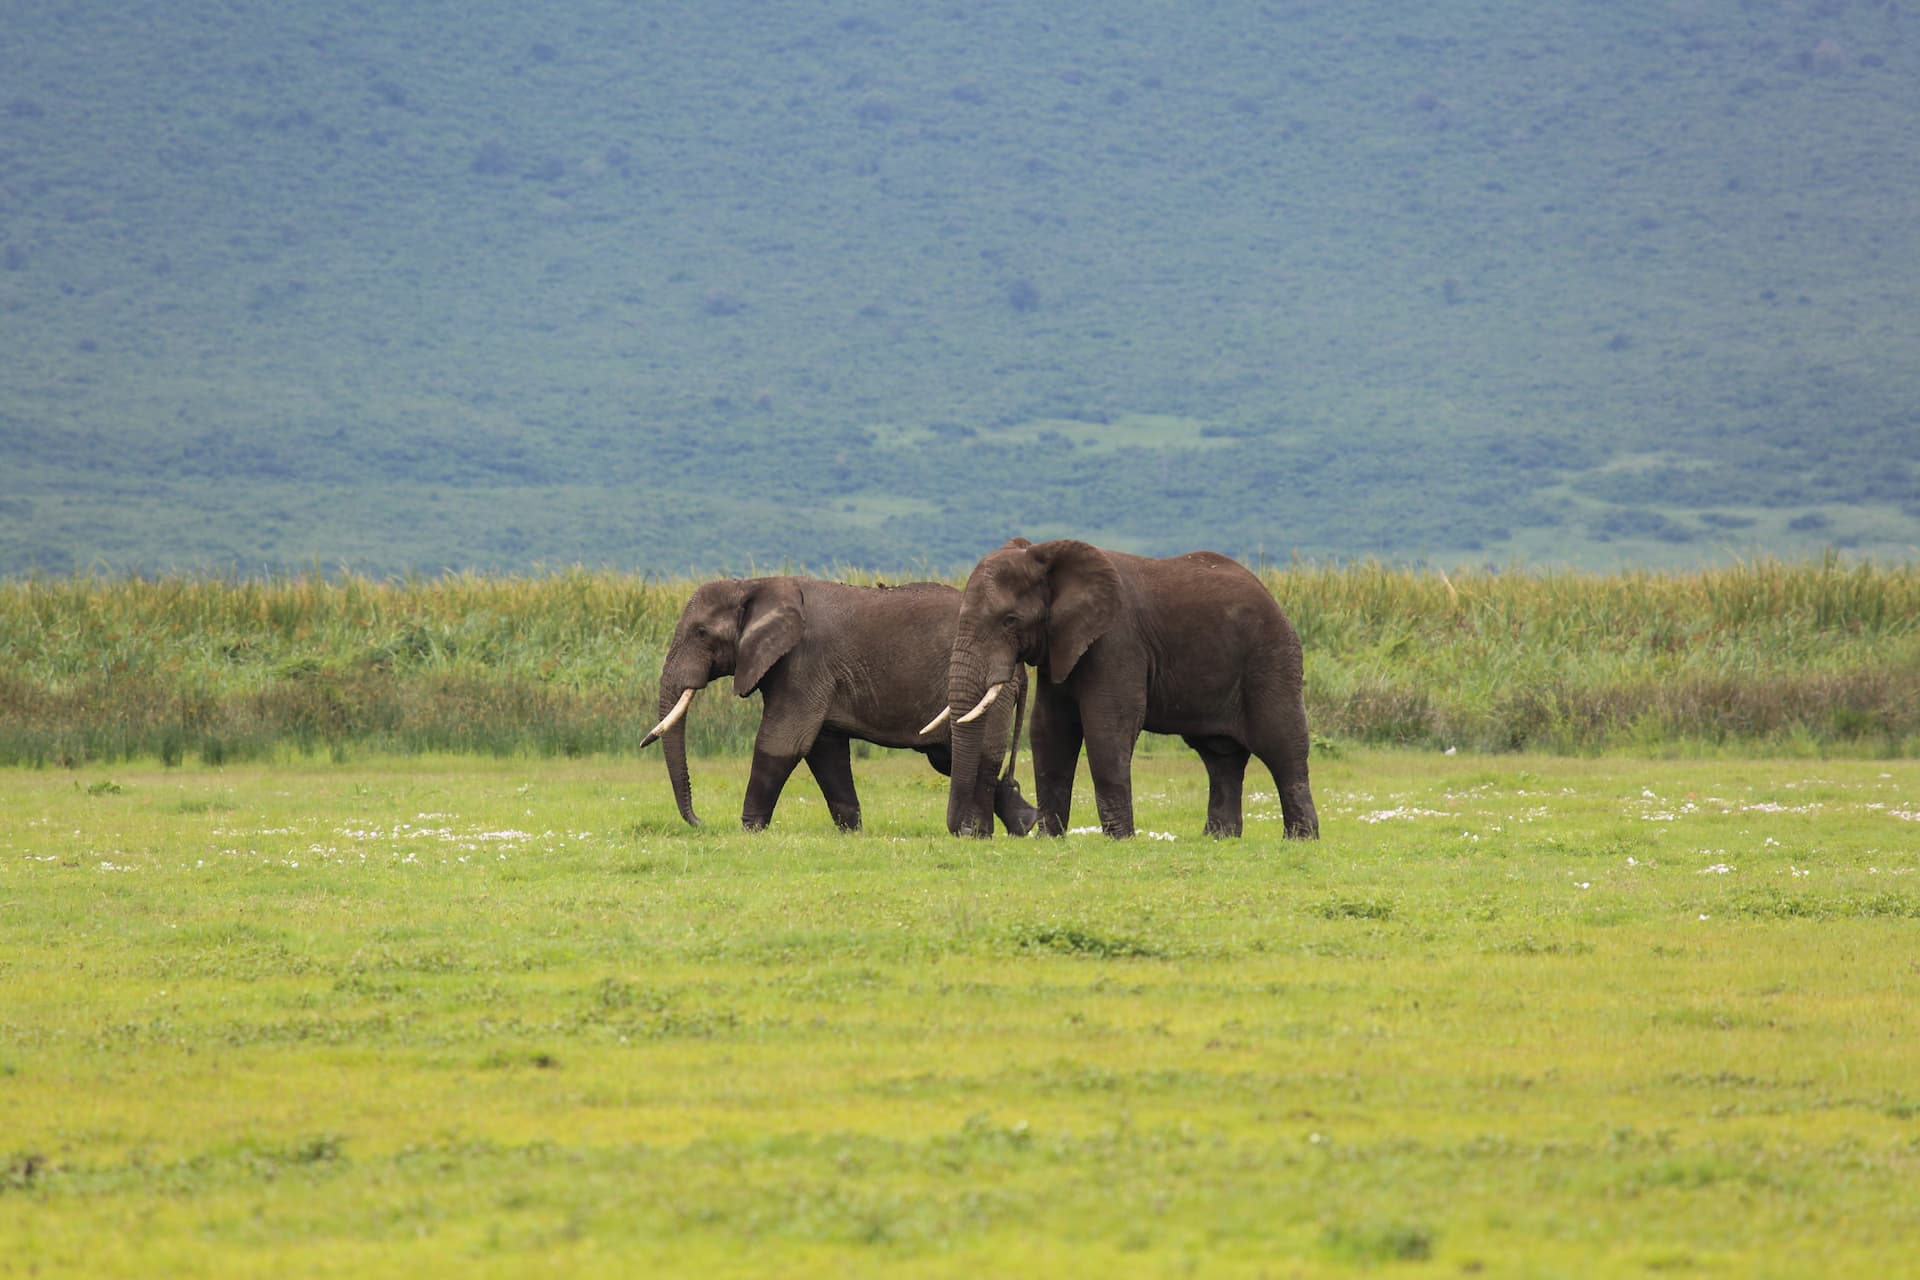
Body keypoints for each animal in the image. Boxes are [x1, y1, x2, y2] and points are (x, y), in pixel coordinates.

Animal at [641, 576, 1038, 835]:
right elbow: (824, 750)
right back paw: (1025, 823)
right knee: (950, 758)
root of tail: (1021, 665)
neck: (754, 584)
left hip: (991, 689)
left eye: (701, 634)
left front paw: (750, 831)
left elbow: (783, 742)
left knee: (976, 755)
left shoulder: (805, 661)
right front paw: (851, 832)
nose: (701, 822)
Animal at [941, 538, 1319, 840]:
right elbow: (1049, 731)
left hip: (1271, 659)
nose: (965, 833)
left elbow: (1108, 727)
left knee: (1282, 747)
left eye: (1010, 621)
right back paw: (1218, 838)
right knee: (1220, 758)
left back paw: (1300, 839)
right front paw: (1049, 839)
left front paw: (1119, 839)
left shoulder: (1116, 641)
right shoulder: (1060, 644)